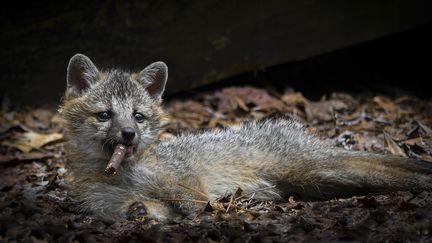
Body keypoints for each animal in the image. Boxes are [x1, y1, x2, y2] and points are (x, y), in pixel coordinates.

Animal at [60, 53, 432, 220]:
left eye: (138, 116)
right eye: (105, 115)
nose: (129, 134)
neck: (122, 175)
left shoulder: (187, 185)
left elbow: (193, 202)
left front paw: (213, 209)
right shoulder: (124, 207)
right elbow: (145, 209)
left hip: (320, 171)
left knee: (389, 171)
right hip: (320, 182)